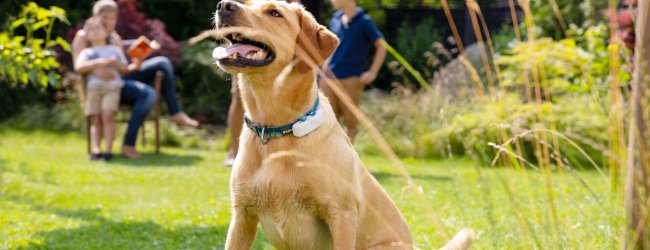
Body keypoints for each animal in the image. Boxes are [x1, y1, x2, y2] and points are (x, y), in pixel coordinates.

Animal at [211, 0, 470, 249]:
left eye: (274, 13)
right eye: (246, 3)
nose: (223, 5)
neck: (276, 129)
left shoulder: (340, 215)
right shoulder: (242, 217)